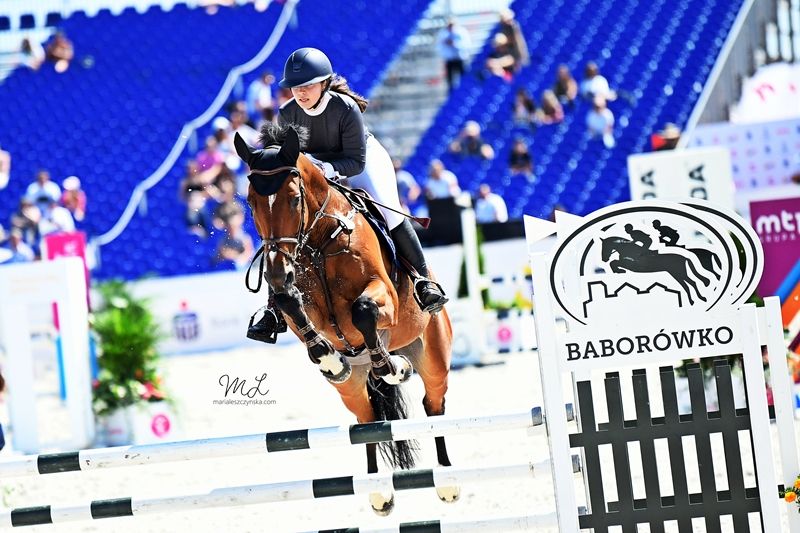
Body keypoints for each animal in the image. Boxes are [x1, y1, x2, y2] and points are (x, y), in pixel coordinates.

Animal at [234, 124, 456, 515]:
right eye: (250, 201)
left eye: (294, 199)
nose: (276, 273)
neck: (318, 243)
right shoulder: (299, 300)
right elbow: (290, 305)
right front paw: (328, 358)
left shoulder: (385, 297)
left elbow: (363, 310)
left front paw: (391, 367)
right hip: (352, 388)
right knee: (367, 421)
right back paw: (379, 492)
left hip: (432, 355)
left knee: (434, 405)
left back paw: (445, 480)